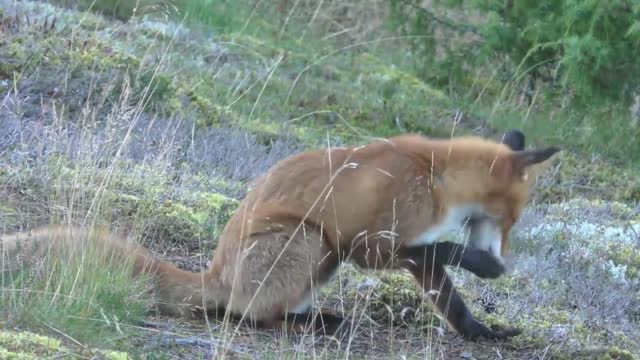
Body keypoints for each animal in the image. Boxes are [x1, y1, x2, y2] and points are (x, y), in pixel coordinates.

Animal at [2, 130, 556, 340]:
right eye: (513, 219)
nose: (505, 255)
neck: (434, 174)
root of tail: (216, 273)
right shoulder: (373, 243)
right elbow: (446, 249)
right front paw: (484, 266)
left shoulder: (410, 252)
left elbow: (451, 299)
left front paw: (481, 332)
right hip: (312, 240)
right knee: (245, 312)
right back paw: (308, 323)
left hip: (323, 256)